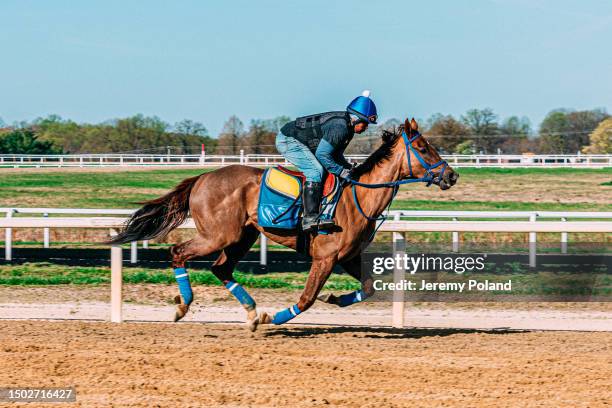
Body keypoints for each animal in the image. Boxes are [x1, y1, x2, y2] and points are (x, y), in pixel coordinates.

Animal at [109, 118, 460, 332]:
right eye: (424, 148)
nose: (452, 175)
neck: (358, 196)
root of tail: (203, 177)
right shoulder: (325, 258)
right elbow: (306, 299)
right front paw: (274, 317)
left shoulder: (347, 257)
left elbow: (369, 287)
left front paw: (334, 299)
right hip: (218, 235)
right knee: (178, 251)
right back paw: (184, 306)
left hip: (242, 236)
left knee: (221, 268)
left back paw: (250, 311)